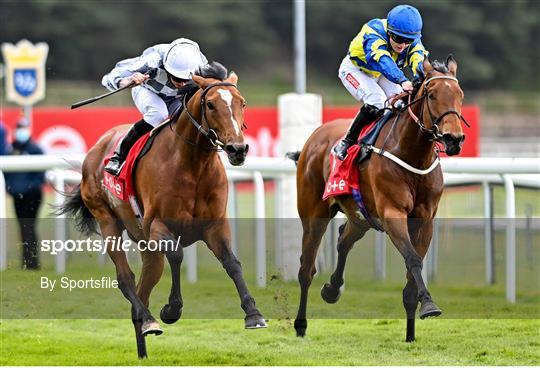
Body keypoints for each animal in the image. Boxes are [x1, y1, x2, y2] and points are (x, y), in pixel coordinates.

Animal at [60, 63, 266, 356]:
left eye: (242, 102)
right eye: (211, 105)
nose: (238, 149)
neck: (192, 164)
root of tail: (98, 147)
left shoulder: (215, 225)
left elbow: (232, 263)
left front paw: (253, 314)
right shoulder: (159, 226)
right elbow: (177, 255)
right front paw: (171, 309)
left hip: (146, 246)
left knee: (143, 287)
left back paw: (143, 342)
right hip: (108, 221)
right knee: (125, 278)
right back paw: (149, 320)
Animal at [288, 57, 466, 342]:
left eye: (460, 95)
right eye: (432, 95)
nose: (454, 139)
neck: (412, 154)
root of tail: (314, 138)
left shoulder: (425, 220)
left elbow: (411, 275)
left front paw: (410, 334)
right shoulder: (393, 214)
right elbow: (413, 259)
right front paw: (429, 304)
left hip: (361, 217)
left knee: (344, 239)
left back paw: (332, 289)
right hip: (314, 213)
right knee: (306, 269)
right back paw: (301, 324)